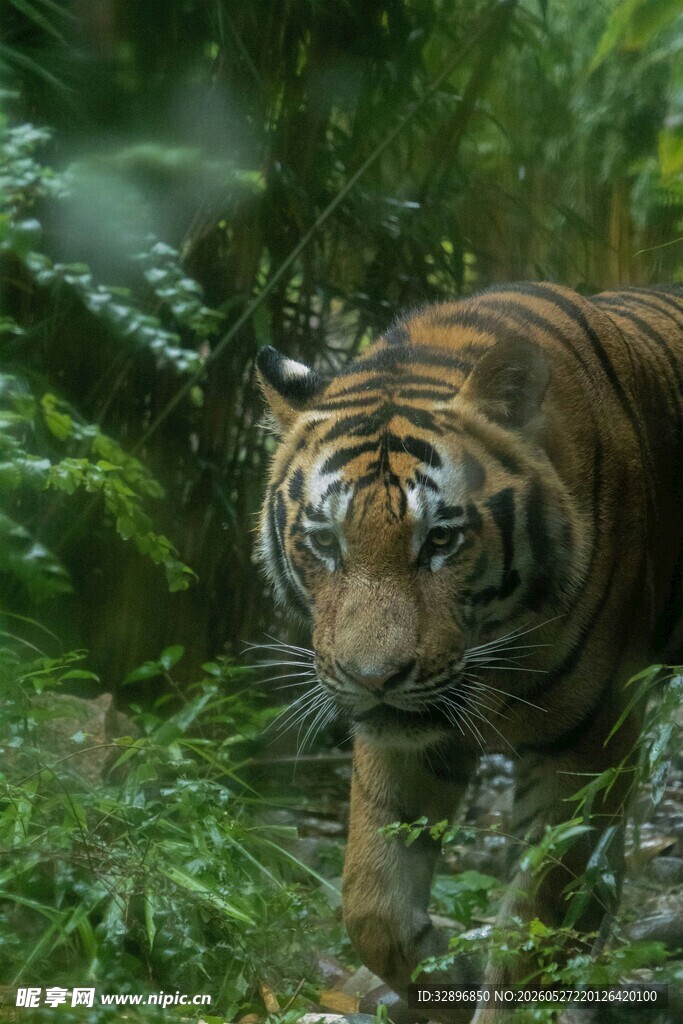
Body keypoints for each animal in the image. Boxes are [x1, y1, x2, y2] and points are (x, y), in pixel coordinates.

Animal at [255, 282, 683, 1022]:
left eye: (440, 540)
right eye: (325, 542)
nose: (373, 678)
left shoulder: (589, 740)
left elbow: (537, 919)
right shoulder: (401, 737)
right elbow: (371, 899)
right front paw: (442, 979)